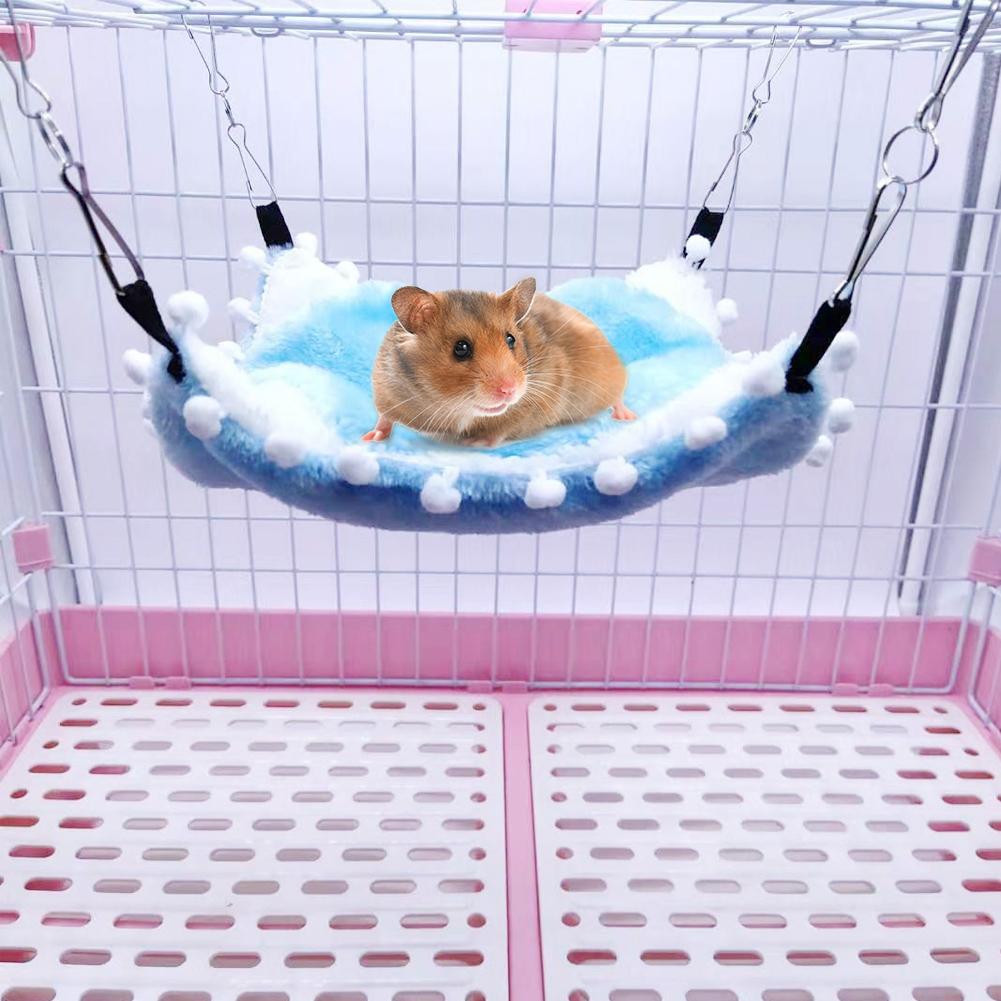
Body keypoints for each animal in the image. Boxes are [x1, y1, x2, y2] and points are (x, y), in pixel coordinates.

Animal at [364, 278, 635, 447]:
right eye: (461, 348)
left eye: (511, 339)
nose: (509, 390)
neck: (454, 407)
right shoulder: (386, 390)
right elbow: (384, 417)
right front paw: (370, 438)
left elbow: (501, 429)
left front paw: (475, 443)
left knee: (617, 397)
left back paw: (627, 417)